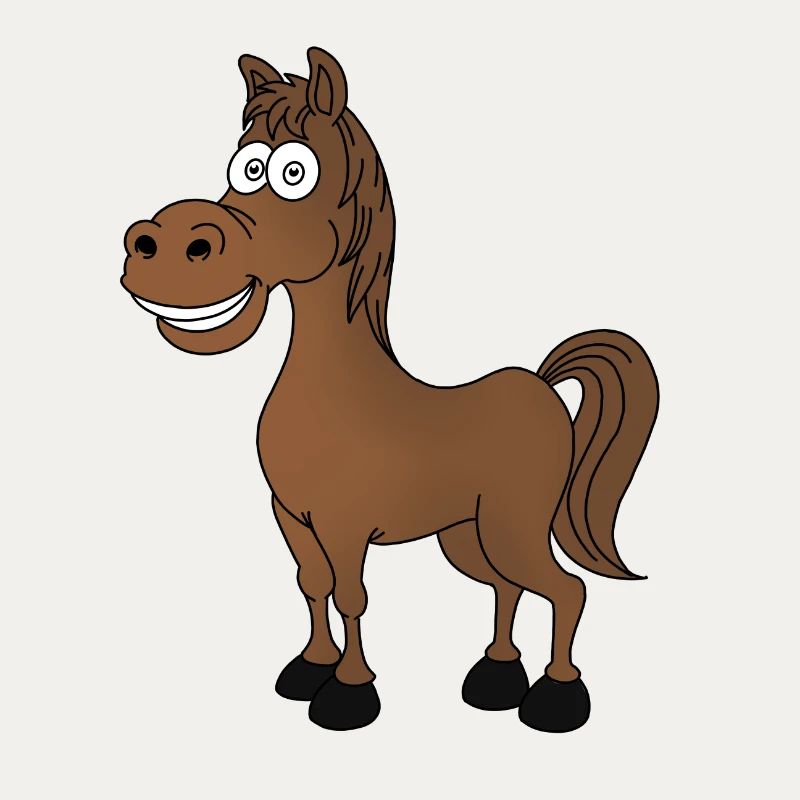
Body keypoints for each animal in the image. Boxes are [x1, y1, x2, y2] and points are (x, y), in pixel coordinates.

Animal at [121, 47, 659, 732]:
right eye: (243, 165)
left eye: (293, 171)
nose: (159, 245)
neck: (340, 392)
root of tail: (541, 384)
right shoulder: (291, 516)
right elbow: (312, 584)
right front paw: (308, 669)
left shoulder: (346, 523)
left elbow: (352, 596)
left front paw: (349, 693)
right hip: (466, 534)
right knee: (506, 587)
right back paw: (495, 676)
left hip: (512, 526)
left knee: (566, 589)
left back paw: (556, 697)